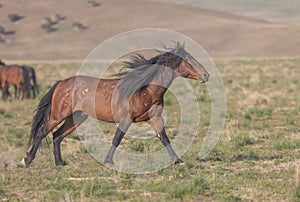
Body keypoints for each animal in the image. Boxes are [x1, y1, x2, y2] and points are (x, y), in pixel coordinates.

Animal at [23, 43, 210, 167]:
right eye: (188, 59)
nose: (206, 75)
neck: (144, 90)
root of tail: (61, 83)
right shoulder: (126, 119)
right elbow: (117, 138)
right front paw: (108, 161)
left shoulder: (155, 118)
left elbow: (164, 138)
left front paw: (178, 160)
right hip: (58, 116)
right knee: (41, 133)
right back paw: (27, 160)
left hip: (76, 117)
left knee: (57, 136)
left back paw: (60, 163)